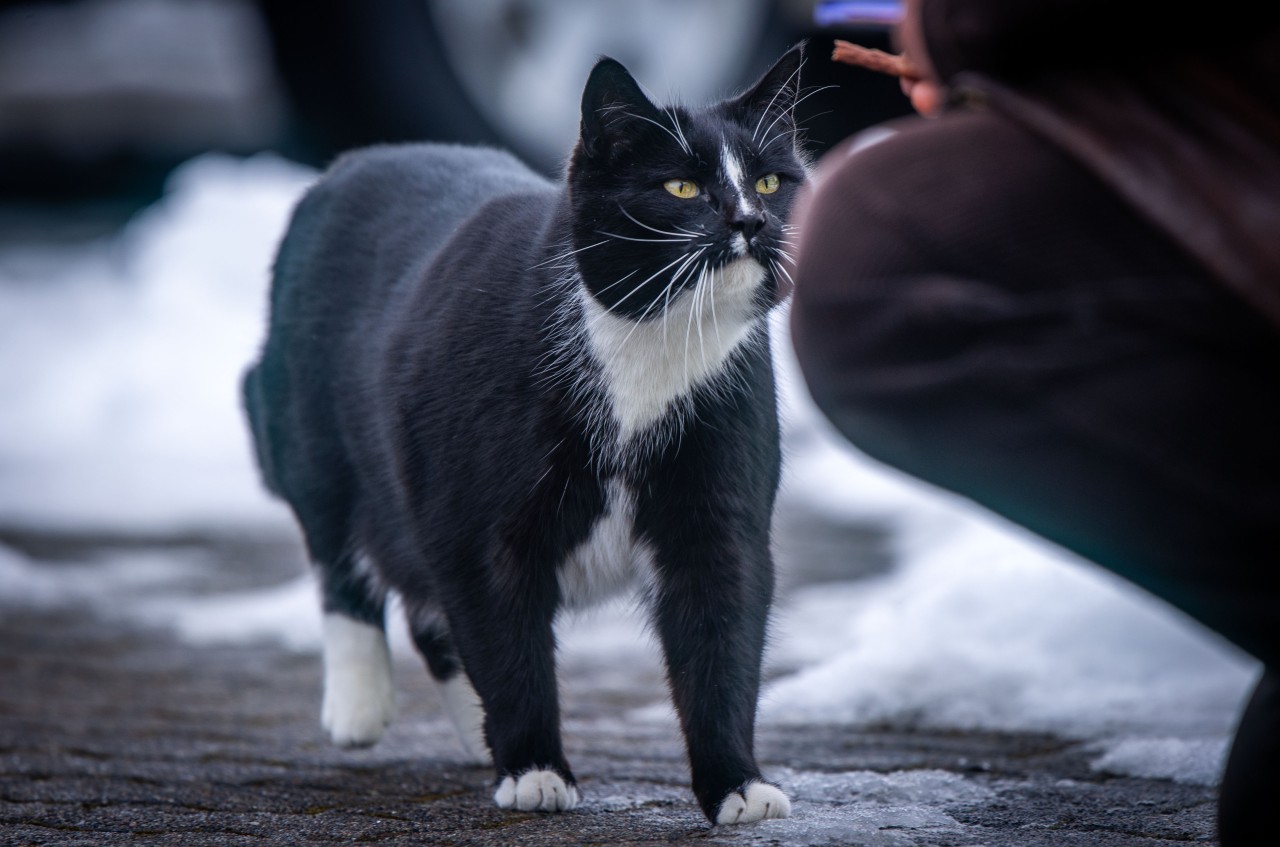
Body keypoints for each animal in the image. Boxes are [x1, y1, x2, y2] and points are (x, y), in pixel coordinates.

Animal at [243, 43, 803, 823]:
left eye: (771, 180)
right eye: (683, 186)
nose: (751, 221)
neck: (647, 346)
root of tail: (347, 165)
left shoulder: (718, 513)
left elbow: (722, 640)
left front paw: (738, 784)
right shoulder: (480, 529)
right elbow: (506, 644)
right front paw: (535, 768)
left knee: (428, 609)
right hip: (313, 436)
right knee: (342, 556)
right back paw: (360, 705)